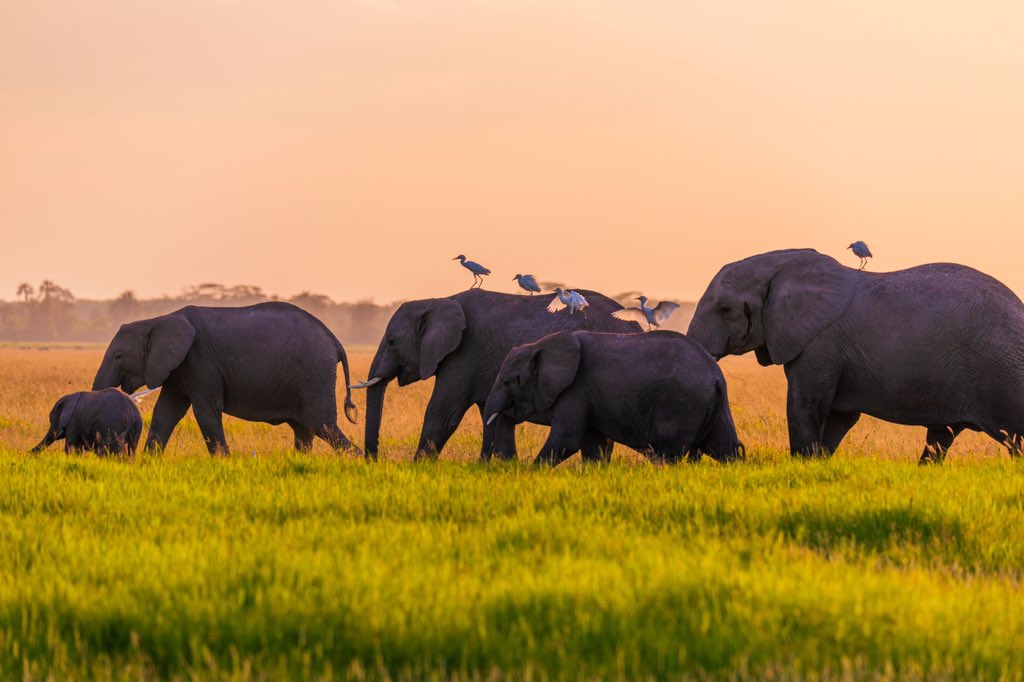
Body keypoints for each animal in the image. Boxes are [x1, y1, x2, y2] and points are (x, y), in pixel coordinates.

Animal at [92, 302, 359, 455]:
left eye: (118, 356)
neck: (158, 320)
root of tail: (336, 342)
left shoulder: (200, 362)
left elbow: (206, 411)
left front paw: (224, 462)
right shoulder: (180, 368)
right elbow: (165, 413)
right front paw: (149, 463)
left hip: (314, 375)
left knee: (321, 425)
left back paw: (360, 460)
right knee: (304, 430)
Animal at [354, 289, 642, 460]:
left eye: (392, 342)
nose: (373, 461)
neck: (436, 300)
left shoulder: (464, 354)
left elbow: (443, 414)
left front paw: (419, 468)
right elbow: (488, 414)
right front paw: (494, 466)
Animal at [482, 330, 744, 466]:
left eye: (508, 382)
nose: (510, 466)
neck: (541, 344)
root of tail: (715, 376)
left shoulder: (575, 390)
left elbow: (567, 439)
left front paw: (532, 473)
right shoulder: (588, 395)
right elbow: (592, 445)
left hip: (681, 404)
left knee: (669, 452)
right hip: (714, 404)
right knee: (726, 448)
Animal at [687, 248, 1024, 462]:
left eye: (725, 309)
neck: (780, 265)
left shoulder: (820, 344)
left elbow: (805, 405)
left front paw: (803, 464)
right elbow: (838, 416)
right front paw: (816, 463)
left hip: (1003, 373)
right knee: (941, 438)